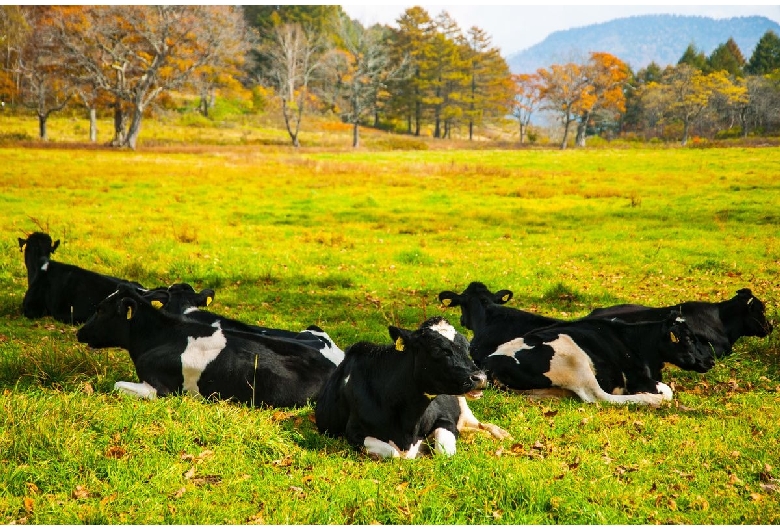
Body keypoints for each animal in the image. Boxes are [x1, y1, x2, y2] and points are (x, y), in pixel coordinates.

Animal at [314, 314, 508, 458]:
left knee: (480, 424)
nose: (480, 377)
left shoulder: (445, 419)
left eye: (467, 348)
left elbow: (444, 451)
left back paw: (499, 433)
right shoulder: (353, 432)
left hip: (463, 406)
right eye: (438, 350)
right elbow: (394, 454)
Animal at [484, 310, 716, 404]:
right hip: (574, 360)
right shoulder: (636, 378)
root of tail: (491, 360)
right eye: (688, 338)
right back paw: (648, 400)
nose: (711, 360)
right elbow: (667, 390)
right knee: (599, 397)